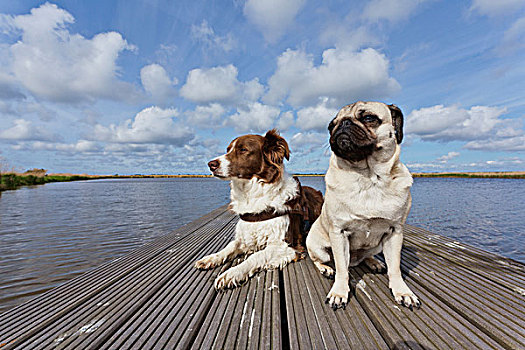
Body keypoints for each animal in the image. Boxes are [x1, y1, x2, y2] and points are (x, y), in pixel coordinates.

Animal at [194, 130, 322, 288]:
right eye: (228, 149)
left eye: (243, 149)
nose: (211, 164)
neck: (252, 194)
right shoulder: (246, 236)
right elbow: (230, 246)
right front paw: (211, 258)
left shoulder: (288, 246)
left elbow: (256, 256)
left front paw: (232, 273)